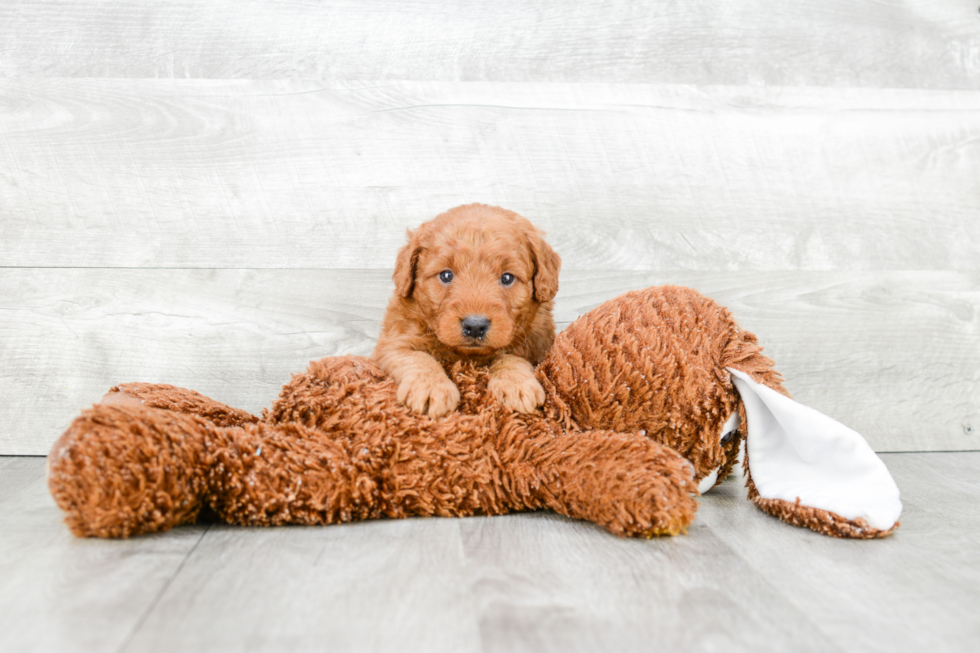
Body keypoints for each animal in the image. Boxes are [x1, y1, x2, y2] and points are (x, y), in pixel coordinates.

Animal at [372, 202, 564, 418]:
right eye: (446, 275)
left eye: (507, 278)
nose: (475, 326)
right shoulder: (392, 343)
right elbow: (417, 358)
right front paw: (431, 388)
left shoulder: (538, 348)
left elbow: (511, 357)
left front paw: (516, 384)